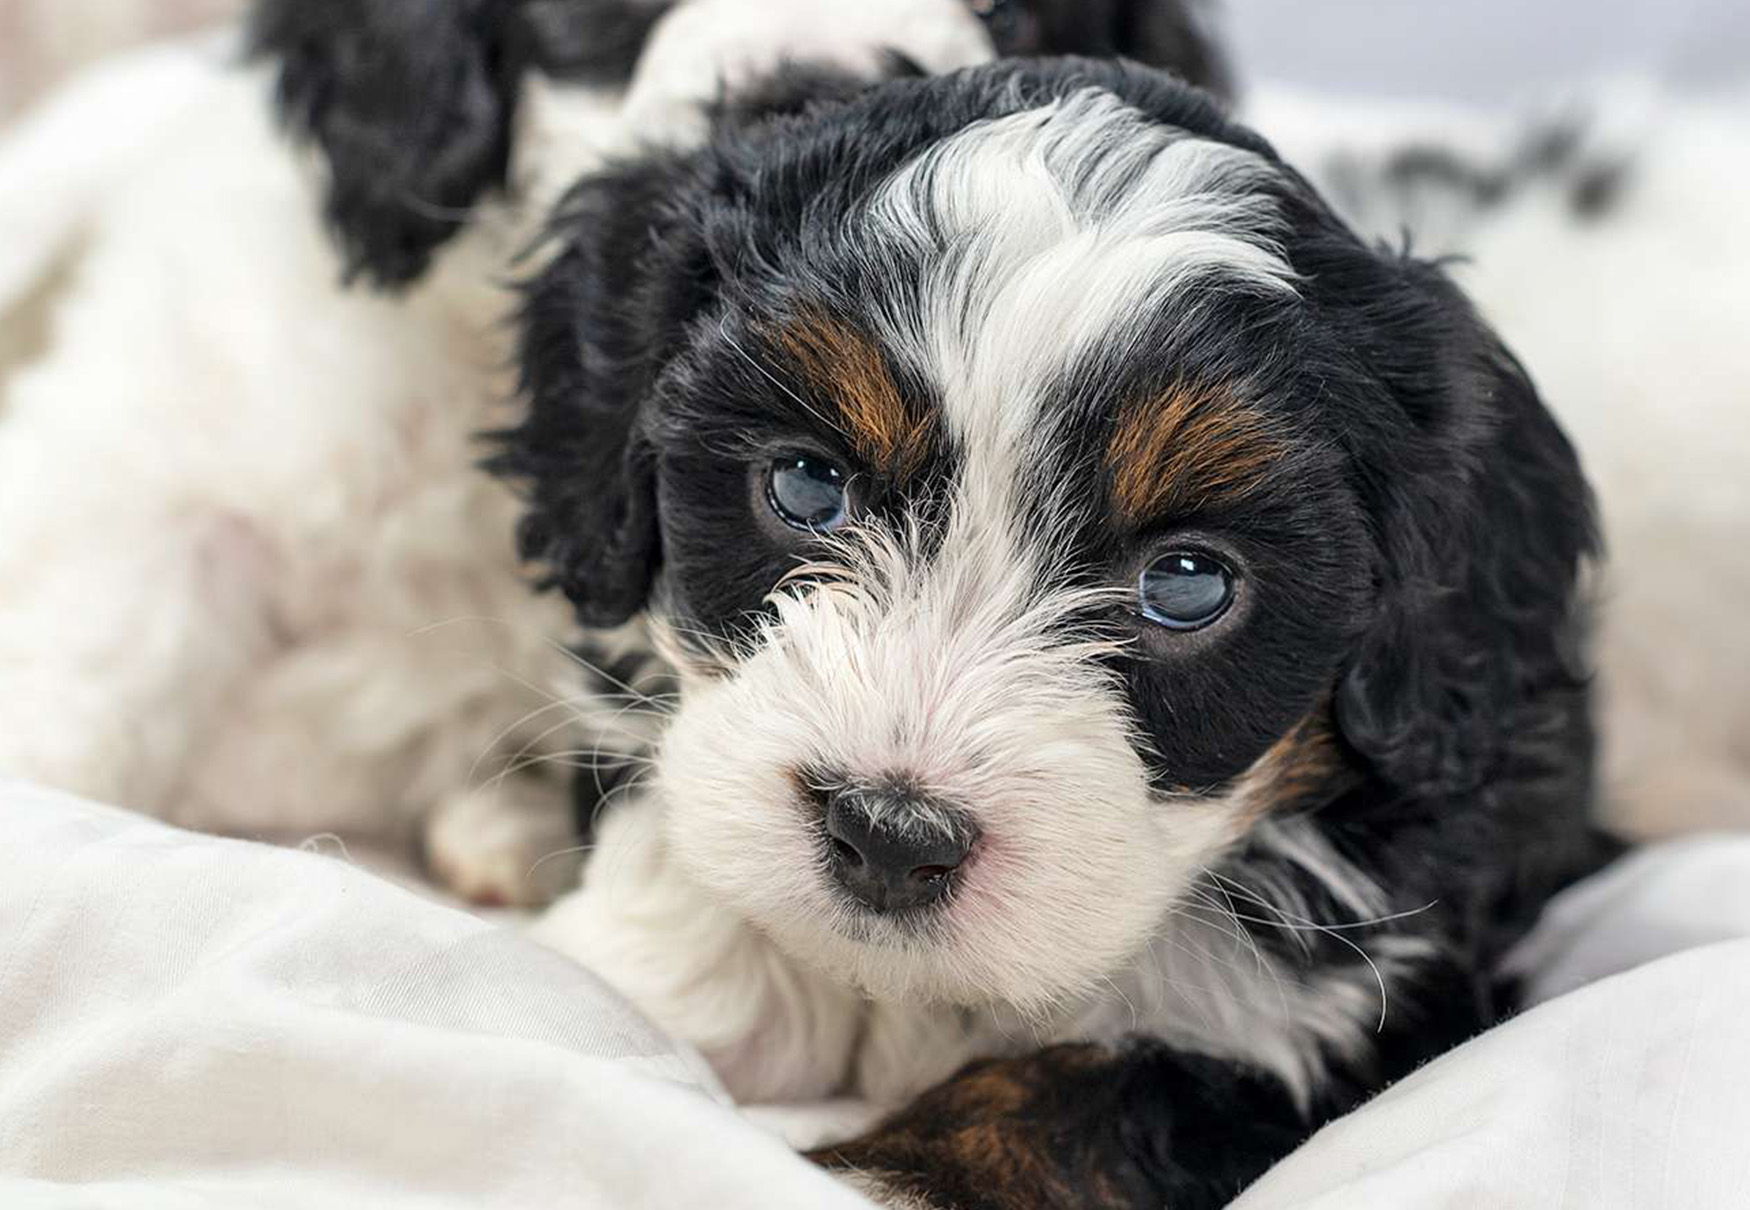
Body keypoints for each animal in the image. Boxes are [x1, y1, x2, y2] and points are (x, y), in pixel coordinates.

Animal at [490, 54, 1610, 1210]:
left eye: (1187, 585)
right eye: (804, 484)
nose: (888, 834)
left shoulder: (1367, 1012)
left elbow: (1072, 1105)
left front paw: (890, 1173)